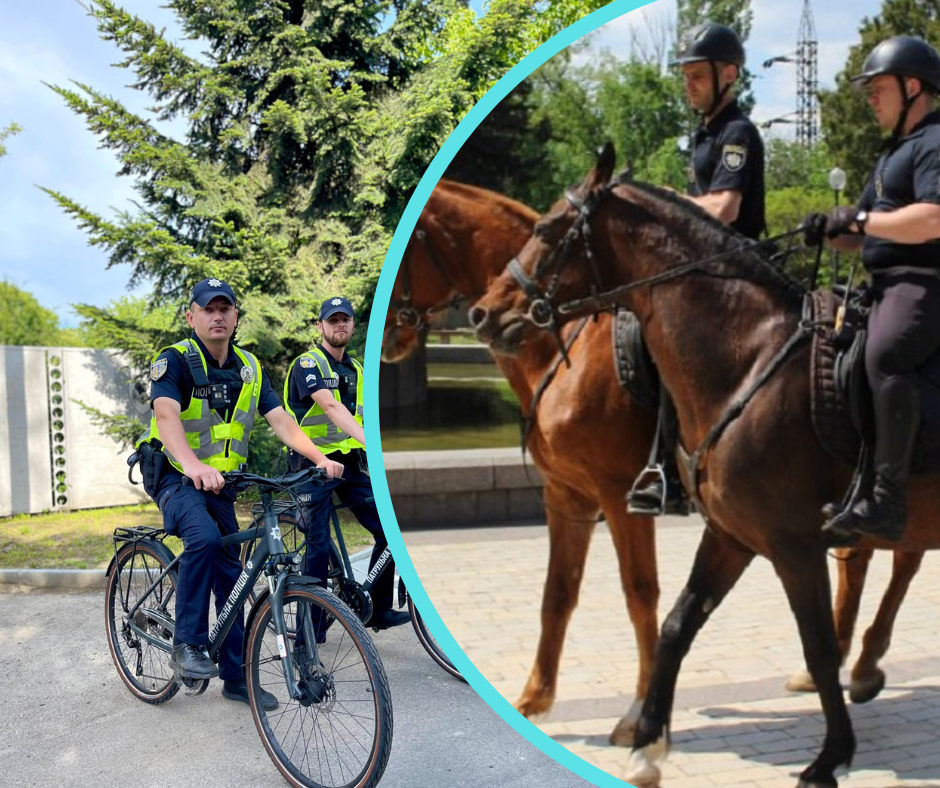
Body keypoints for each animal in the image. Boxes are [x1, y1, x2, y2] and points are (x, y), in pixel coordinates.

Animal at [378, 180, 656, 744]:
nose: (391, 335)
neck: (562, 347)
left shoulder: (621, 495)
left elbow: (640, 594)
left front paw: (642, 713)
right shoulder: (567, 495)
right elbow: (557, 594)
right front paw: (534, 698)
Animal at [466, 143, 936, 788]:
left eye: (548, 229)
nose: (483, 313)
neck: (749, 359)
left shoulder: (786, 542)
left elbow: (803, 641)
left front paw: (830, 755)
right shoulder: (723, 532)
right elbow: (667, 620)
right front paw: (644, 741)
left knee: (890, 565)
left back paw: (860, 667)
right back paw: (863, 664)